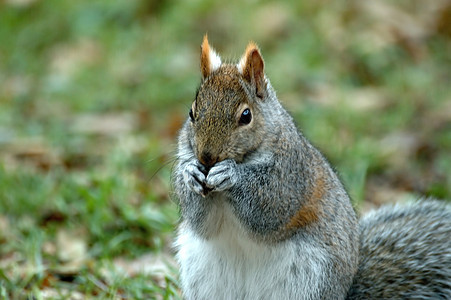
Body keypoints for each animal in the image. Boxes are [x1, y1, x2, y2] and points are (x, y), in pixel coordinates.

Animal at [174, 35, 451, 300]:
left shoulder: (292, 175)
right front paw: (190, 174)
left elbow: (268, 209)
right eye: (191, 112)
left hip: (310, 278)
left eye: (246, 116)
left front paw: (231, 175)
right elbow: (202, 222)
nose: (206, 157)